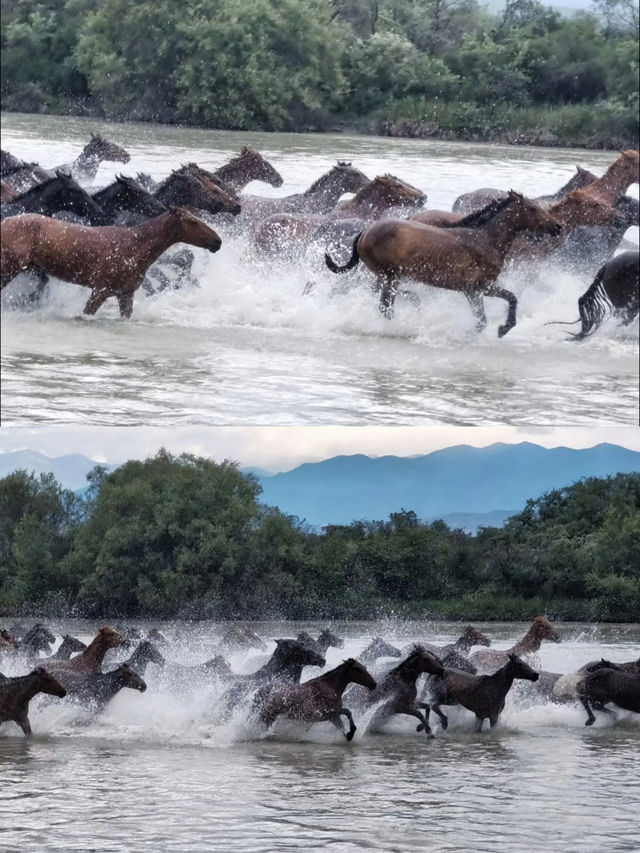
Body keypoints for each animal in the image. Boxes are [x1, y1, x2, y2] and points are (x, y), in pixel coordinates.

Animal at [0, 206, 221, 316]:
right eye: (192, 221)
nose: (217, 242)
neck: (136, 248)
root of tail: (4, 222)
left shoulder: (125, 293)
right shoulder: (101, 289)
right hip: (9, 268)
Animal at [324, 191, 560, 338]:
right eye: (532, 208)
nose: (557, 226)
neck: (486, 239)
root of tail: (364, 232)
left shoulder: (477, 290)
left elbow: (493, 312)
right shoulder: (478, 288)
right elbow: (499, 308)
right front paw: (501, 329)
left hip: (387, 277)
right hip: (391, 276)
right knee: (386, 307)